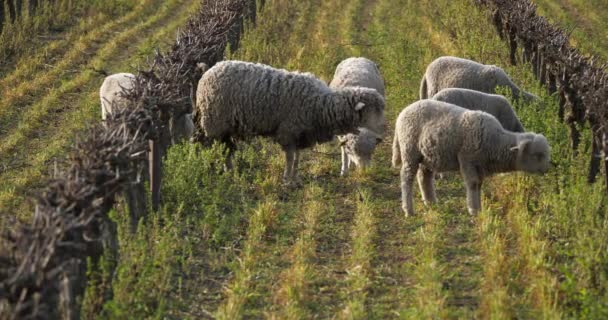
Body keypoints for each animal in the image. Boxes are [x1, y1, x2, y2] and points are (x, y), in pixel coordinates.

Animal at [196, 60, 384, 182]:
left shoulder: (300, 134)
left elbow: (297, 157)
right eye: (373, 111)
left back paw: (231, 172)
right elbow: (289, 157)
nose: (383, 130)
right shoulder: (288, 131)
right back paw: (224, 171)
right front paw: (287, 179)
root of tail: (209, 70)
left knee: (227, 150)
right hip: (216, 124)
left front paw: (295, 177)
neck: (322, 104)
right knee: (222, 150)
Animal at [394, 99, 552, 216]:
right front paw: (473, 210)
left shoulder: (479, 165)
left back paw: (431, 202)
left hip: (426, 156)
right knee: (407, 178)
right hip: (410, 150)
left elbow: (479, 185)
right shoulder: (467, 160)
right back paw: (408, 209)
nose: (547, 169)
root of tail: (403, 112)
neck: (495, 142)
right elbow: (473, 184)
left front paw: (479, 208)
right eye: (537, 155)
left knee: (424, 176)